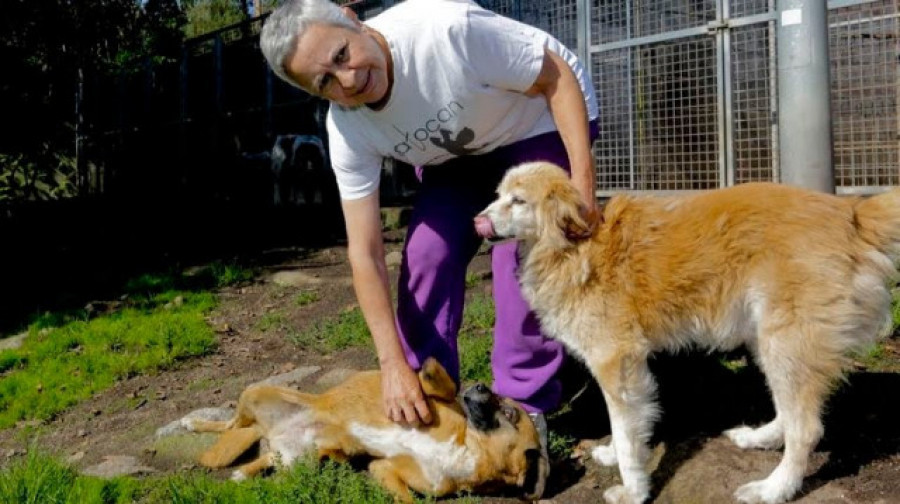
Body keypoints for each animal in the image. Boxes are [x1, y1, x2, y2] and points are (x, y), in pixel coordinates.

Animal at [184, 356, 548, 502]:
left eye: (509, 412)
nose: (483, 385)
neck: (466, 450)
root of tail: (272, 431)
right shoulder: (429, 402)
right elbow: (444, 386)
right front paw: (432, 370)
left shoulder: (384, 468)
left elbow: (407, 499)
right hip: (255, 391)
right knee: (230, 423)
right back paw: (193, 423)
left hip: (302, 463)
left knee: (271, 458)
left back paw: (244, 473)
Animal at [474, 162, 896, 504]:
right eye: (497, 195)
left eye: (518, 200)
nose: (477, 222)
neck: (573, 246)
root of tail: (851, 212)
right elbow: (627, 430)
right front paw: (615, 456)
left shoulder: (617, 362)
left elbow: (626, 433)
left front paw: (633, 490)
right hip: (769, 340)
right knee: (789, 412)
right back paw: (760, 438)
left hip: (786, 340)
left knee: (806, 428)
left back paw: (774, 489)